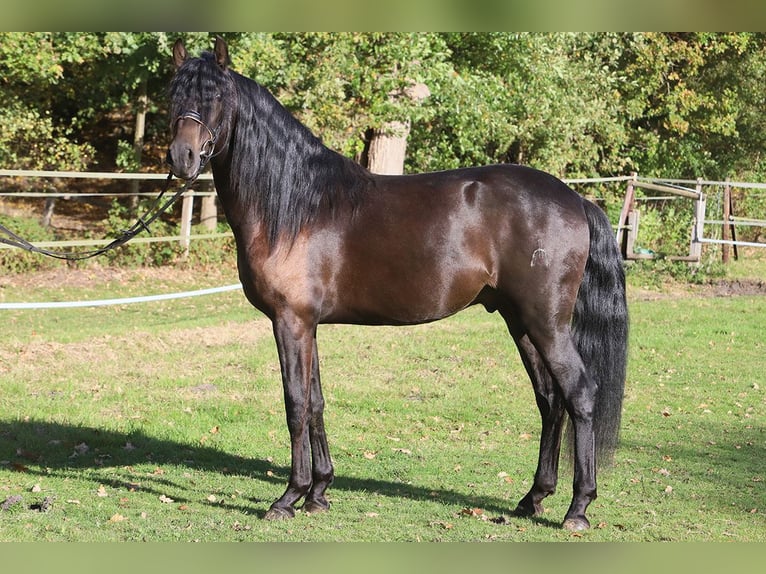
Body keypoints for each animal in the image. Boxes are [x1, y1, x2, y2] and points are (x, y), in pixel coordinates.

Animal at [166, 37, 628, 531]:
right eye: (174, 95)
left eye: (215, 97)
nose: (181, 158)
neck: (297, 207)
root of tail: (576, 198)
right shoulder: (309, 326)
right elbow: (316, 403)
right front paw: (319, 493)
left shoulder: (290, 322)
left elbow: (295, 405)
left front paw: (288, 497)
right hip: (520, 322)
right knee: (550, 400)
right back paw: (533, 498)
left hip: (547, 323)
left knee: (579, 394)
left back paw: (578, 508)